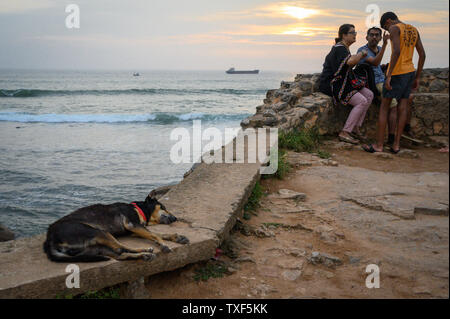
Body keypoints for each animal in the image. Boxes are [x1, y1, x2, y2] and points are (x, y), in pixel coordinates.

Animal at [43, 192, 189, 262]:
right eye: (163, 207)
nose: (175, 218)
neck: (139, 209)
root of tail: (49, 239)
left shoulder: (135, 230)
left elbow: (158, 234)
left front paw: (177, 237)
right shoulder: (133, 225)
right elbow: (155, 235)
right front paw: (164, 244)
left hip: (94, 248)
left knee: (120, 254)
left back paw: (144, 255)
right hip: (98, 232)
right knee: (120, 248)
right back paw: (145, 250)